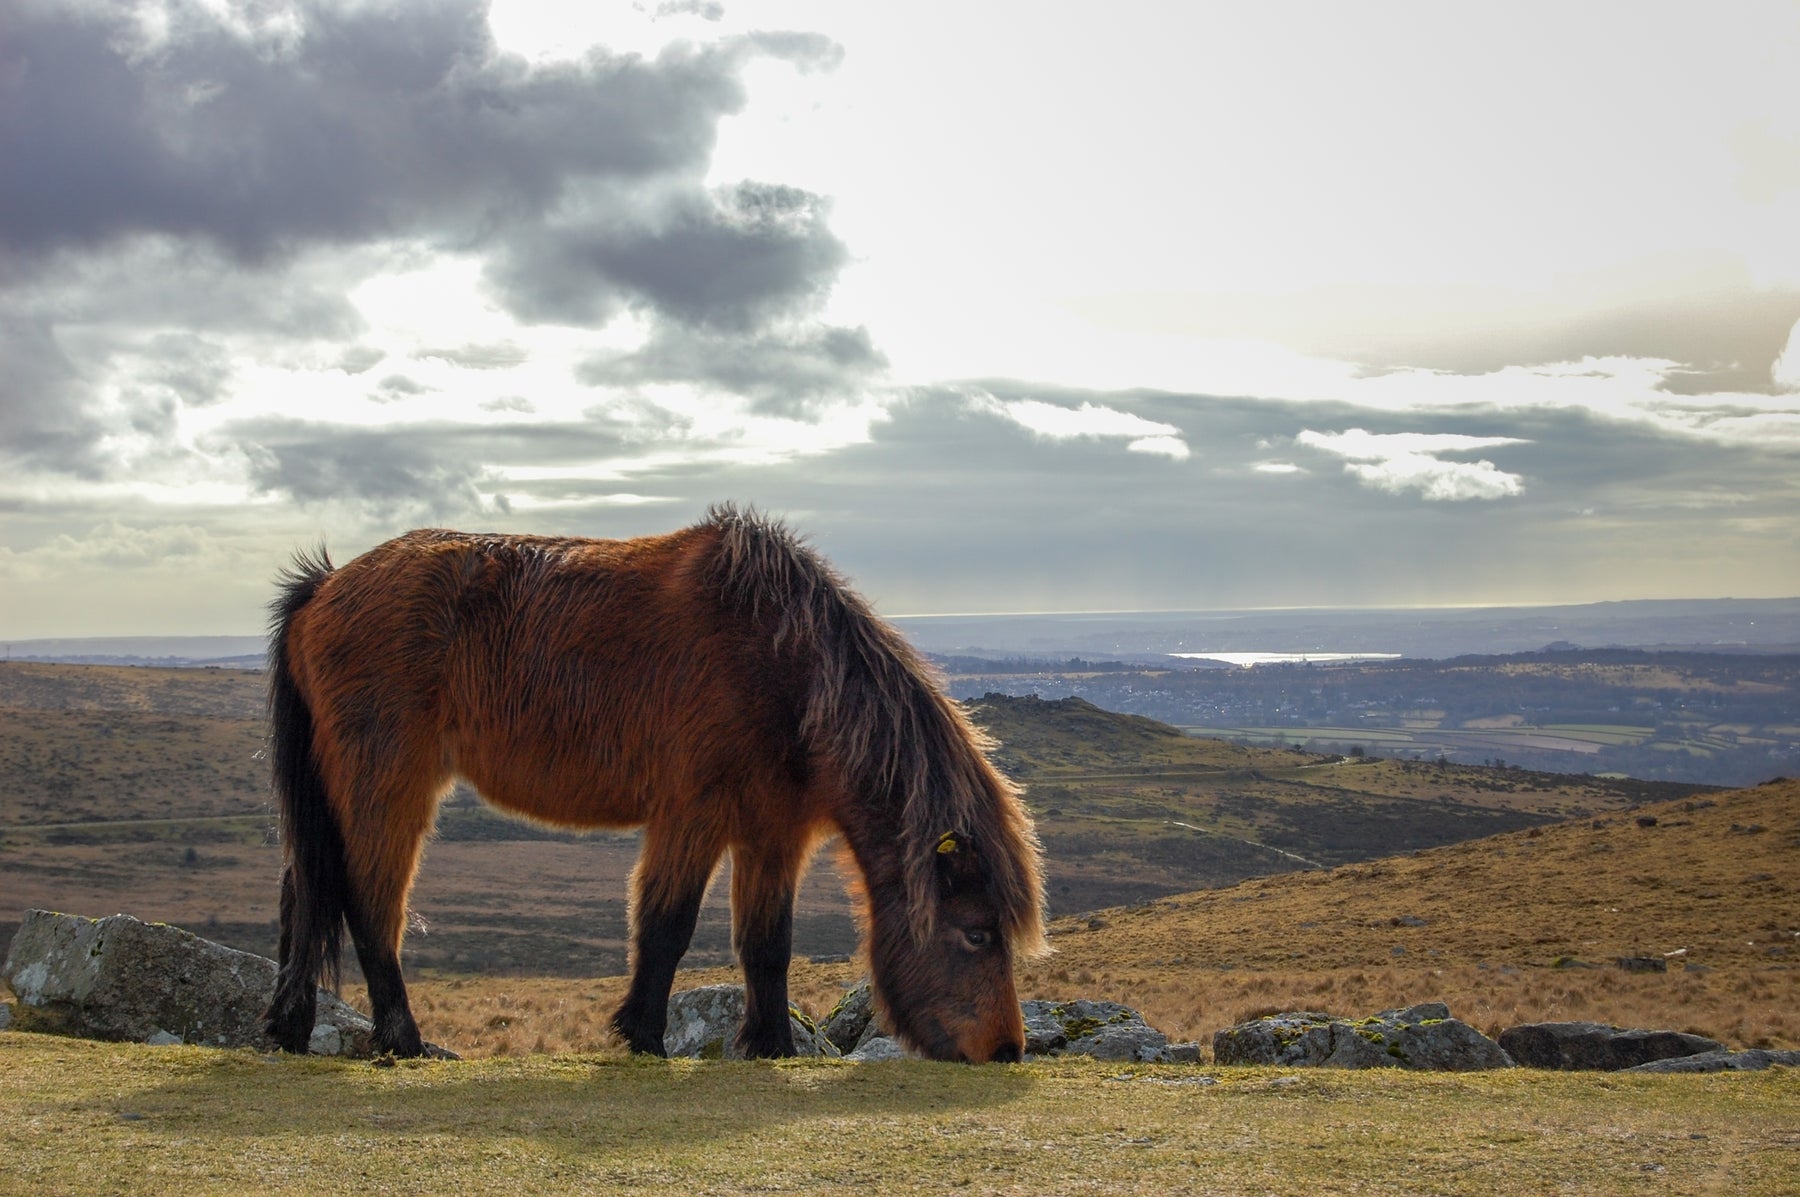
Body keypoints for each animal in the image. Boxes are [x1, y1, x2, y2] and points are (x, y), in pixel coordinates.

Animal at [262, 503, 1045, 1062]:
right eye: (977, 934)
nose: (1006, 1050)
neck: (785, 665)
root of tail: (324, 587)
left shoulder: (773, 832)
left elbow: (768, 941)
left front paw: (770, 1046)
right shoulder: (693, 813)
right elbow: (667, 925)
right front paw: (642, 1034)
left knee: (304, 891)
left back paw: (288, 1028)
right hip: (387, 784)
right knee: (369, 900)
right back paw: (403, 1040)